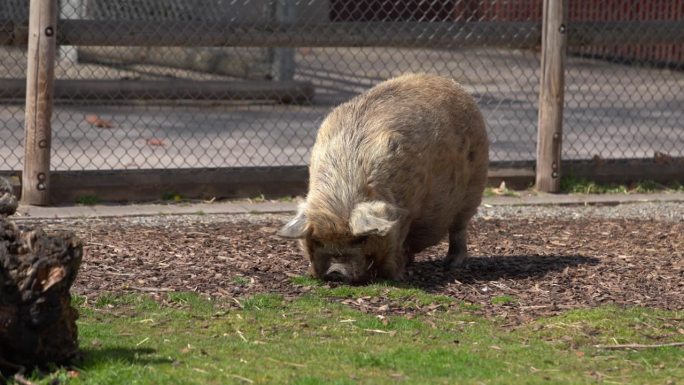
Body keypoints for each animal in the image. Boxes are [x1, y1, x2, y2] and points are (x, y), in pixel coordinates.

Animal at [276, 73, 488, 282]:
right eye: (317, 240)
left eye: (360, 239)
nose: (337, 272)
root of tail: (454, 85)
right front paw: (310, 274)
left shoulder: (407, 211)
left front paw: (395, 277)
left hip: (475, 185)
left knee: (459, 228)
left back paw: (451, 264)